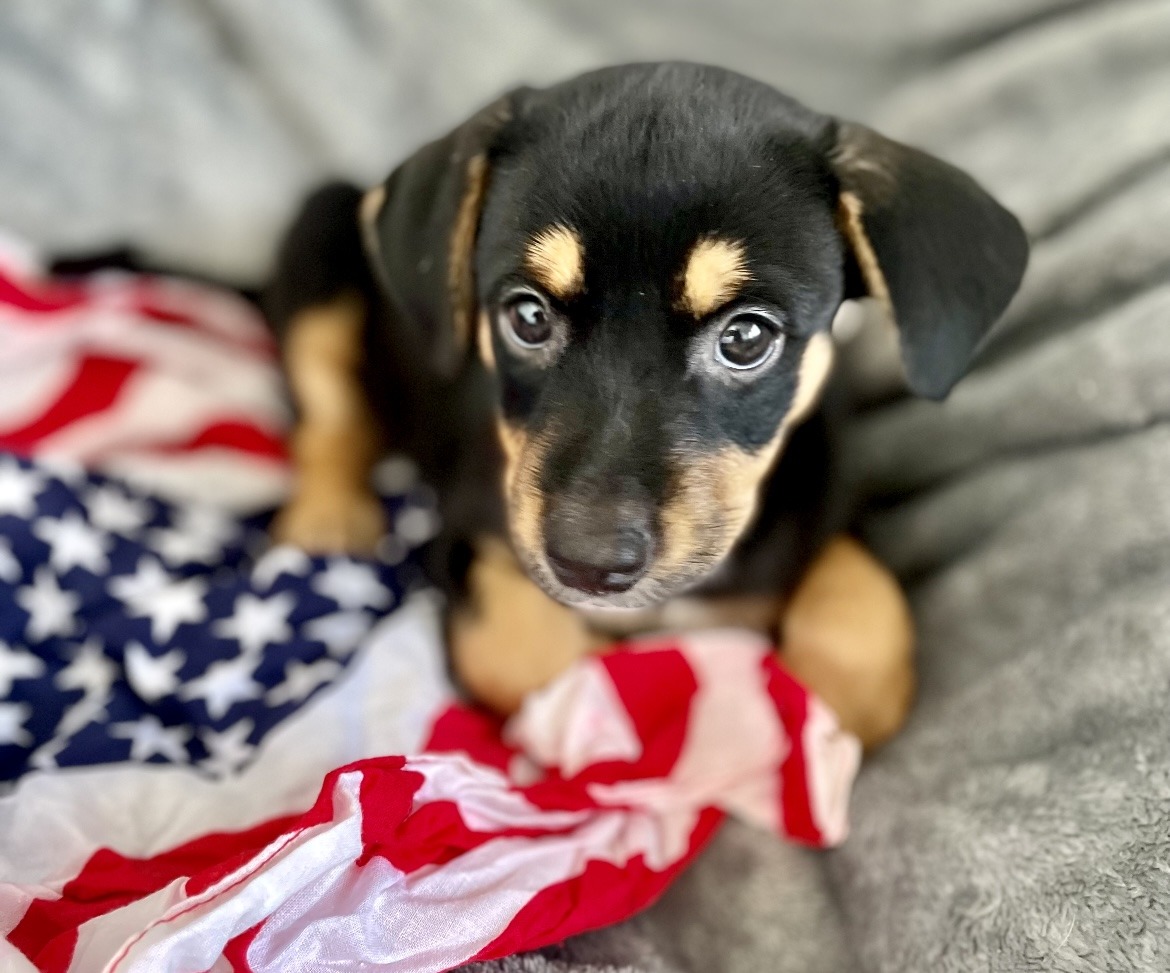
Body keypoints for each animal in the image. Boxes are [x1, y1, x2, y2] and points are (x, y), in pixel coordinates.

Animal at [263, 62, 1028, 749]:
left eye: (746, 337)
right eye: (528, 317)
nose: (589, 565)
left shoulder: (831, 499)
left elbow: (863, 623)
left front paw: (823, 724)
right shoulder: (469, 532)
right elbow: (529, 659)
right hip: (318, 236)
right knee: (329, 411)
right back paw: (329, 517)